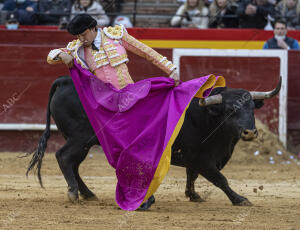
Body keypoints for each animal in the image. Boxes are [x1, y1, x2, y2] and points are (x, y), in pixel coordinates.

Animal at [25, 76, 282, 207]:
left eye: (251, 108)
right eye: (229, 110)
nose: (250, 132)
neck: (206, 116)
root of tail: (65, 81)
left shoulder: (197, 157)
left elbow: (192, 176)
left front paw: (193, 195)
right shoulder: (199, 156)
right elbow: (219, 178)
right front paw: (239, 199)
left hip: (83, 141)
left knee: (74, 164)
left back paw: (87, 193)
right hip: (79, 138)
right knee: (64, 157)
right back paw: (73, 193)